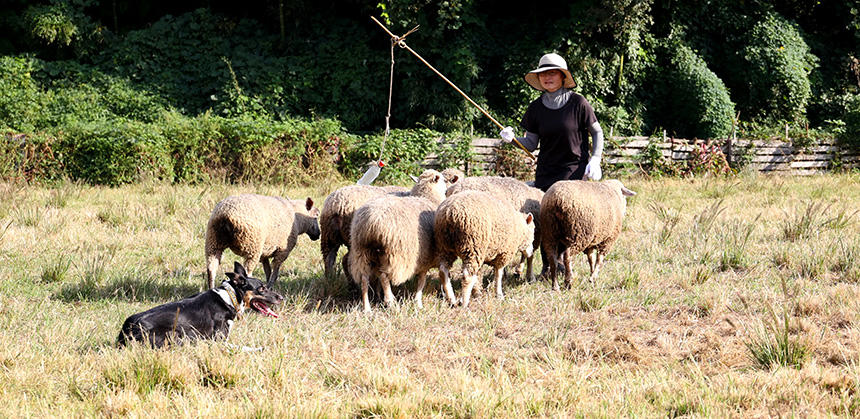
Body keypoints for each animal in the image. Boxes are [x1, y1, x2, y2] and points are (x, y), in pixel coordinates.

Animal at [116, 262, 282, 348]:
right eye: (261, 289)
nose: (281, 297)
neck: (230, 297)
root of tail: (128, 327)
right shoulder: (219, 340)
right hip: (178, 336)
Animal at [348, 168, 450, 312]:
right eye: (442, 179)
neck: (427, 198)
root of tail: (372, 222)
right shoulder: (424, 258)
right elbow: (421, 281)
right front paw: (418, 302)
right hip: (392, 254)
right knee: (384, 276)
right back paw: (390, 301)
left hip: (361, 252)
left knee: (364, 279)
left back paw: (367, 308)